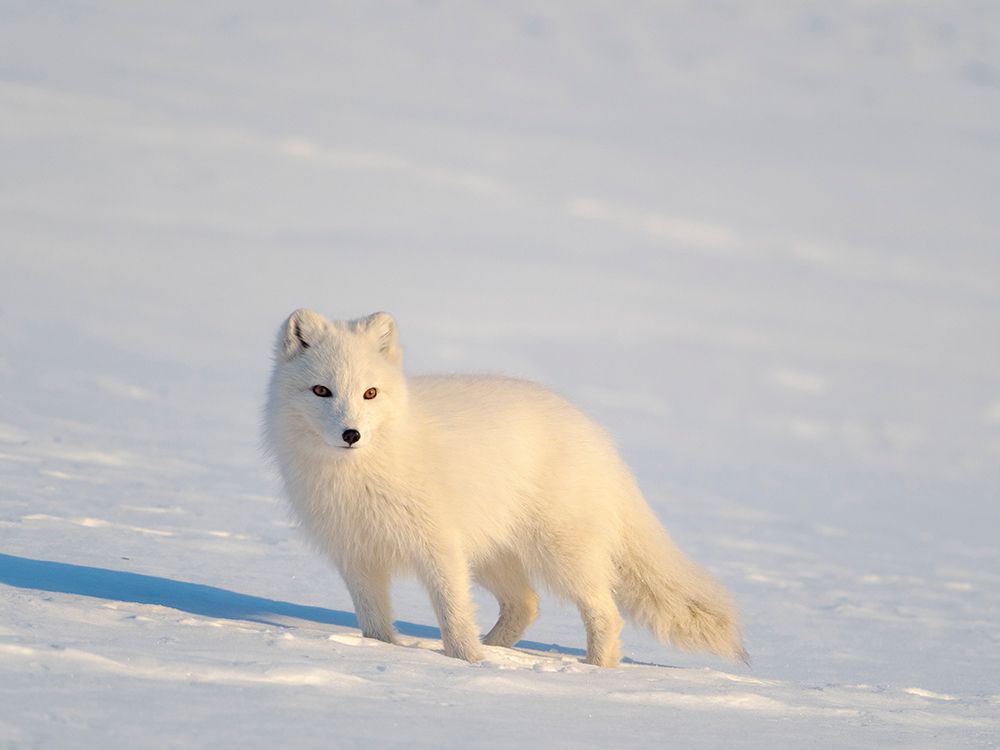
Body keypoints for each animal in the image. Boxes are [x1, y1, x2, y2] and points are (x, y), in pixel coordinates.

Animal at [264, 309, 747, 667]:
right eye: (321, 391)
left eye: (370, 393)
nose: (352, 434)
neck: (360, 474)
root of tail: (597, 436)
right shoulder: (356, 555)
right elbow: (376, 625)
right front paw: (385, 653)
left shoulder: (438, 546)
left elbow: (454, 613)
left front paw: (468, 663)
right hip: (492, 555)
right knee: (527, 604)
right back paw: (500, 652)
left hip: (558, 554)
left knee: (604, 614)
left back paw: (591, 672)